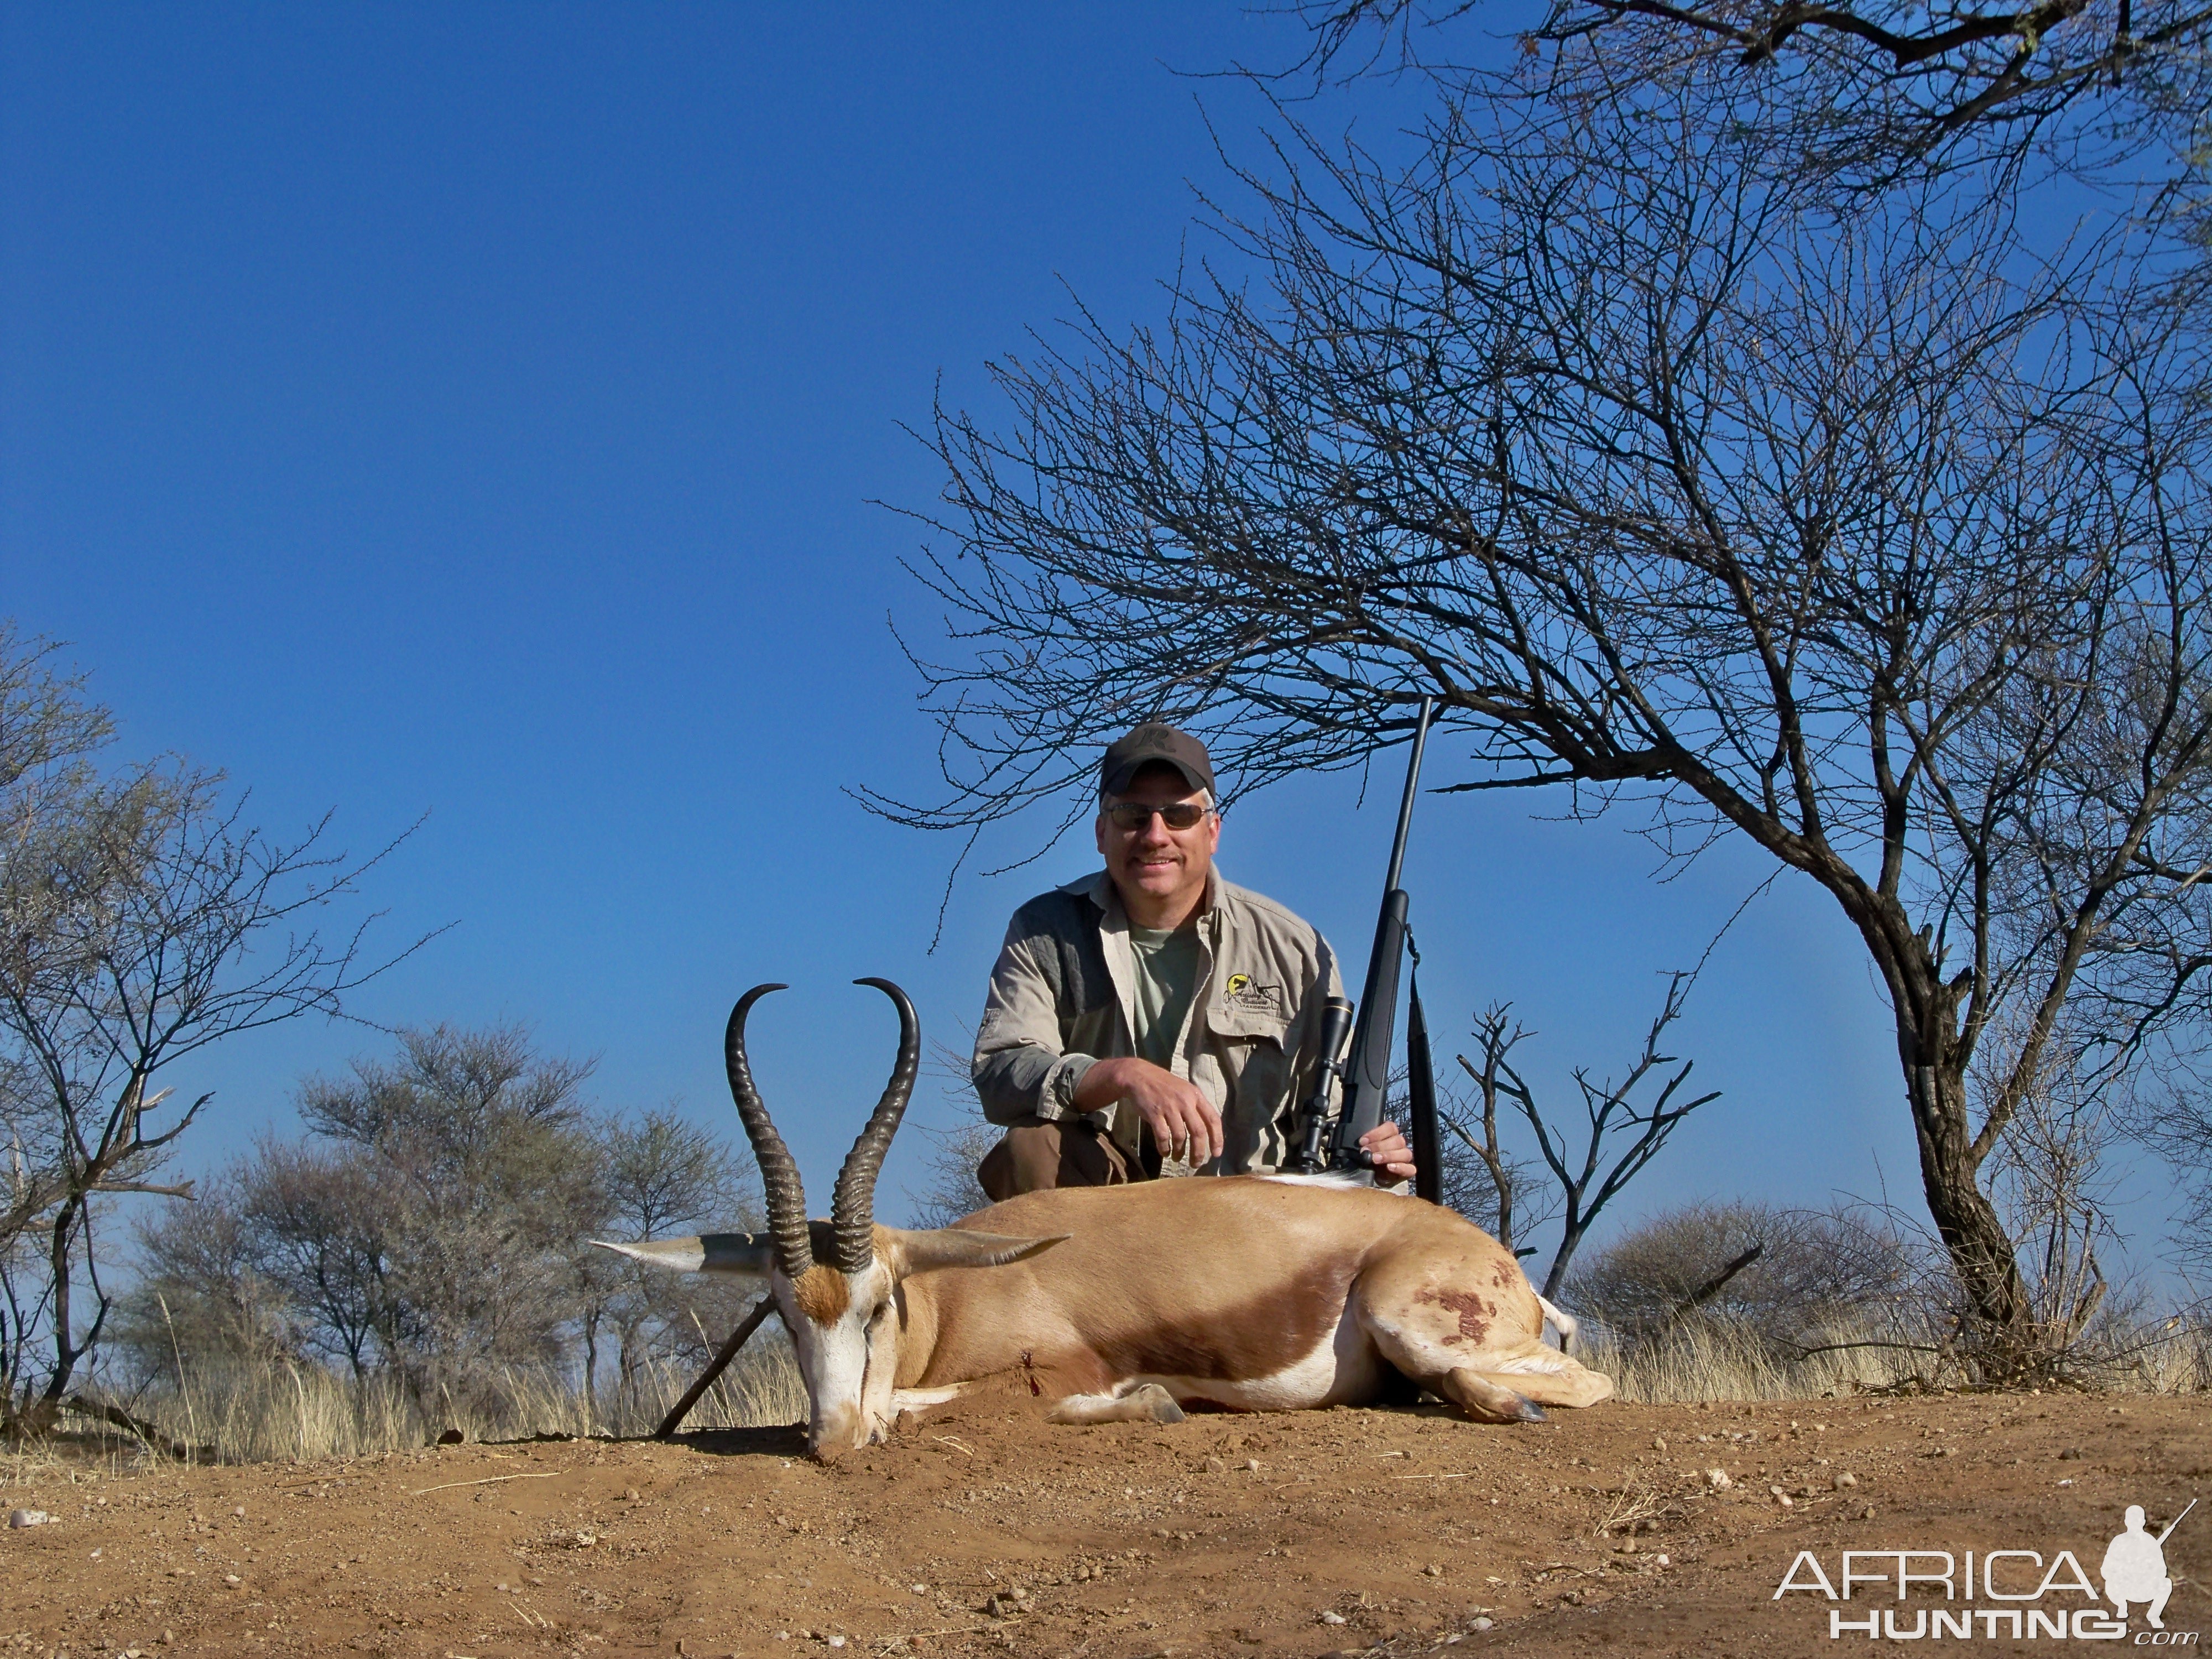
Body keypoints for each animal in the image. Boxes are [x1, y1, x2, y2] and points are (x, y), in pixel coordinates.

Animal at [606, 987, 1610, 1469]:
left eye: (880, 1303)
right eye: (782, 1311)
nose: (831, 1440)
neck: (963, 1291)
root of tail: (1499, 1261)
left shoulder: (1053, 1370)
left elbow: (920, 1405)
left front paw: (1151, 1400)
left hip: (1420, 1324)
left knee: (1584, 1384)